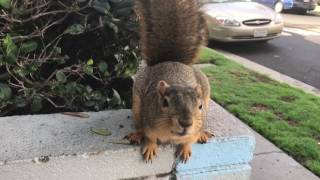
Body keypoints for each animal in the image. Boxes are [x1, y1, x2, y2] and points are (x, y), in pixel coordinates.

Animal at [125, 0, 212, 163]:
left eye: (200, 106)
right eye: (164, 103)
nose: (186, 123)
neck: (172, 134)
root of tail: (171, 60)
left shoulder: (195, 129)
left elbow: (190, 139)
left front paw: (185, 148)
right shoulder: (149, 122)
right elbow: (150, 137)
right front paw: (150, 147)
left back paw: (203, 134)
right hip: (137, 104)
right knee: (139, 125)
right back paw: (137, 134)